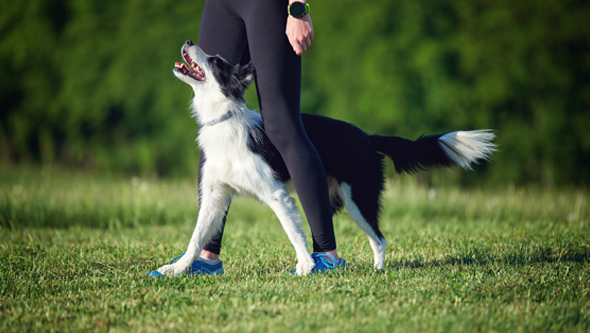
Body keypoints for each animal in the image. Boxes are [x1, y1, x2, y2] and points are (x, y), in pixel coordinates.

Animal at [155, 40, 498, 274]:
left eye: (214, 61)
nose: (189, 41)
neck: (225, 119)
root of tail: (366, 137)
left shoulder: (276, 194)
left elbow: (293, 231)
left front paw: (305, 267)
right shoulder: (215, 195)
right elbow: (197, 236)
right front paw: (177, 269)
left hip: (358, 198)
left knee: (379, 238)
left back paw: (375, 271)